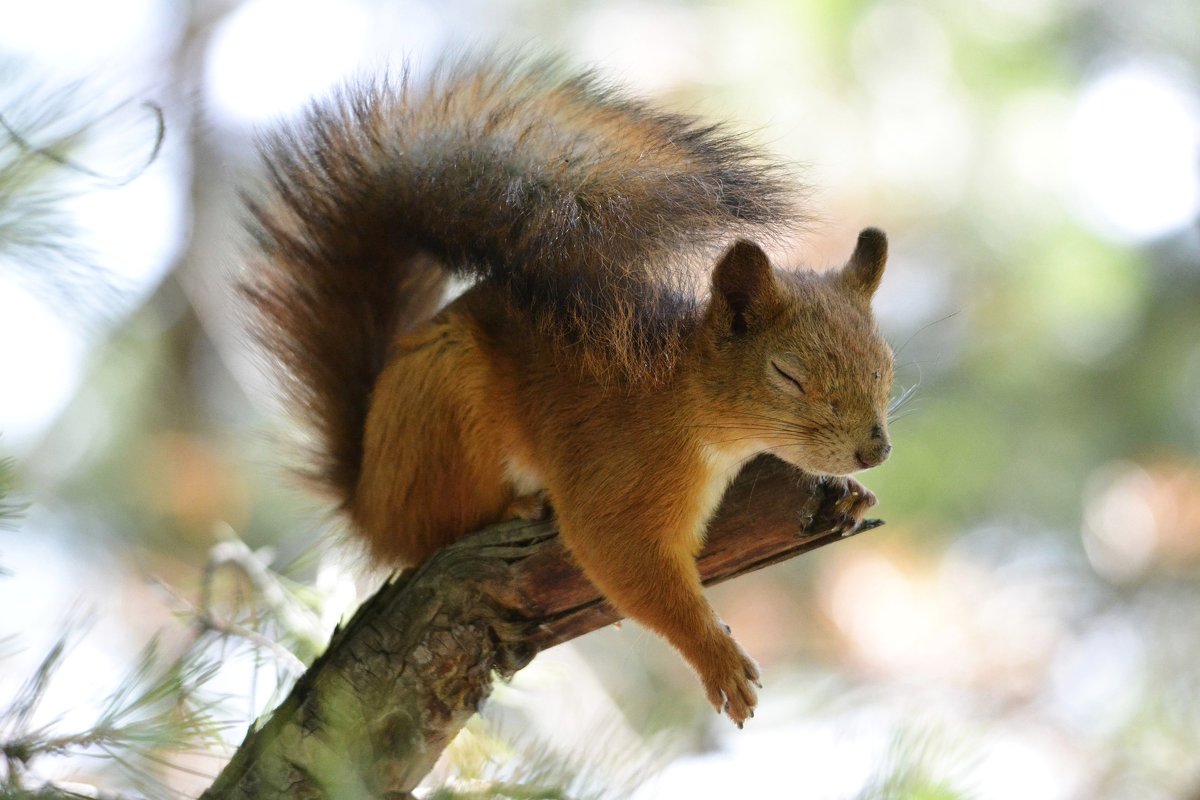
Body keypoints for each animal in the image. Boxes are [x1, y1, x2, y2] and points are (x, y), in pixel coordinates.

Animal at [243, 56, 897, 729]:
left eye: (885, 366)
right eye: (787, 375)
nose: (875, 451)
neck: (688, 406)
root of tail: (366, 492)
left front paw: (845, 492)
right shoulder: (618, 475)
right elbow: (623, 561)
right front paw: (716, 658)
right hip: (444, 406)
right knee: (427, 531)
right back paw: (512, 507)